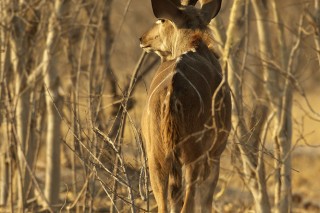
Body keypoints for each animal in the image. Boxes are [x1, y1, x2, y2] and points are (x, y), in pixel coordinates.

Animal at [139, 0, 230, 211]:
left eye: (161, 20)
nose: (142, 38)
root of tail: (172, 93)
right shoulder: (215, 153)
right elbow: (205, 202)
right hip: (192, 157)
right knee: (189, 202)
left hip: (157, 158)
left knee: (165, 204)